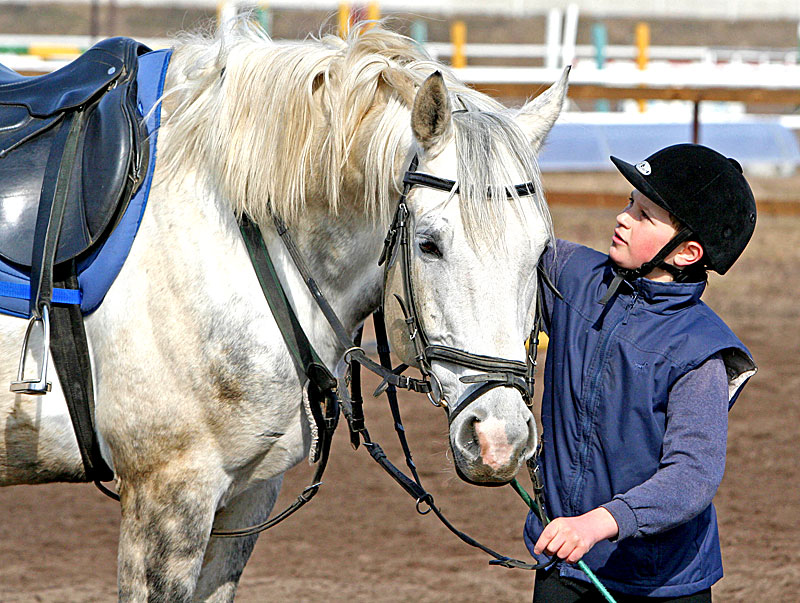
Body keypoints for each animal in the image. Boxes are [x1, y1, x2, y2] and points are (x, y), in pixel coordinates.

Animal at [0, 22, 564, 600]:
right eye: (429, 245)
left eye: (541, 251)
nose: (500, 440)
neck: (233, 233)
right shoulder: (167, 495)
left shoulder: (246, 496)